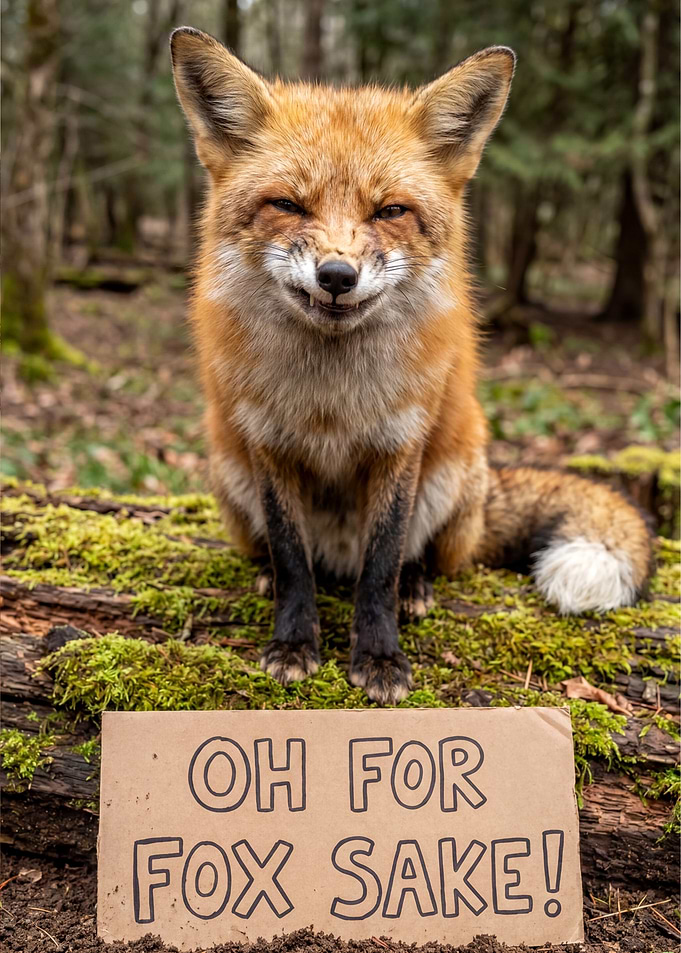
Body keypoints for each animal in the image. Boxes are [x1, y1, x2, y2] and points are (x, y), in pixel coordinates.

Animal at [170, 27, 654, 705]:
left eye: (390, 211)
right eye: (288, 205)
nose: (337, 276)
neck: (331, 403)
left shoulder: (399, 445)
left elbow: (381, 566)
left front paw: (378, 657)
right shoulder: (270, 445)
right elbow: (293, 561)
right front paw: (293, 643)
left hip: (453, 471)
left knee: (424, 557)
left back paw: (417, 586)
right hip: (227, 471)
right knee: (285, 554)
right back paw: (268, 574)